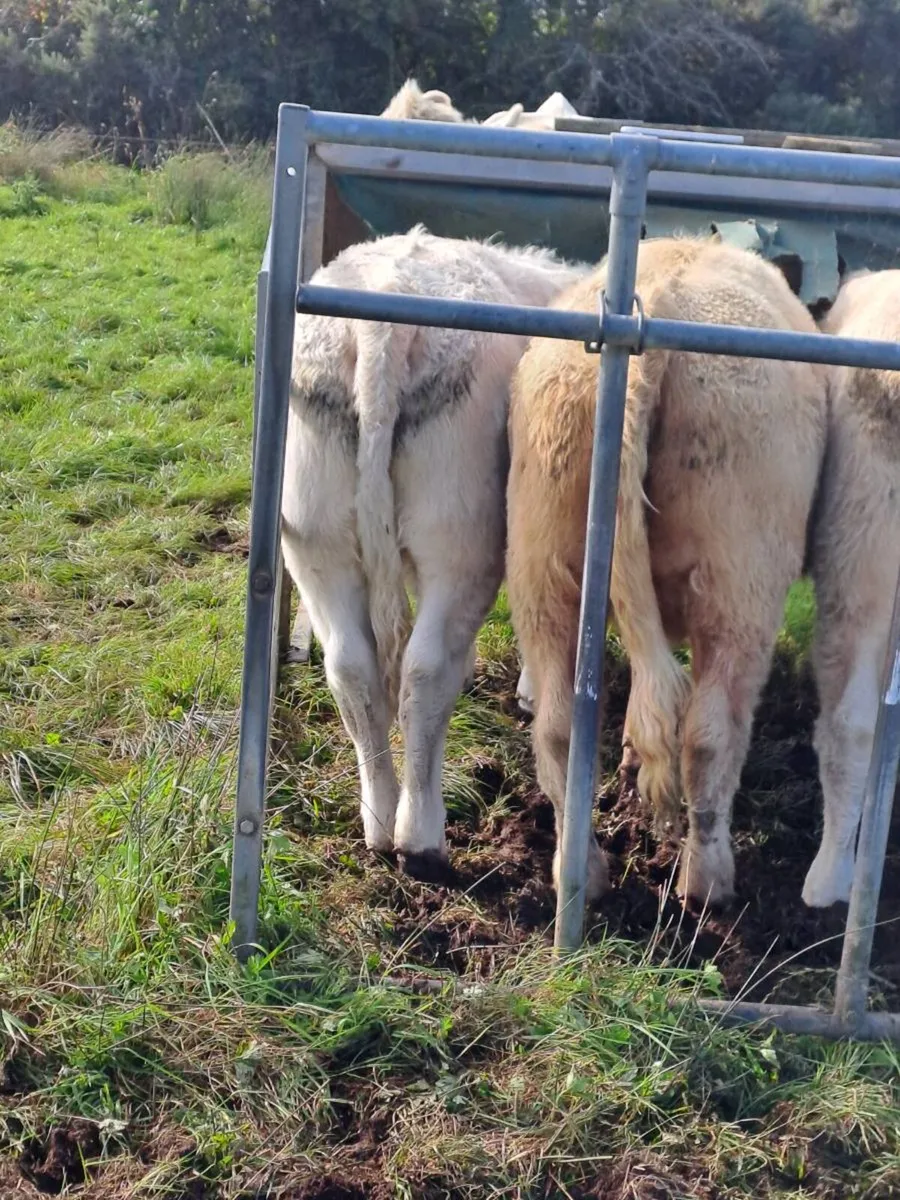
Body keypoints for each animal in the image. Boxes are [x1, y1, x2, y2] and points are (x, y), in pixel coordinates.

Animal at [282, 226, 587, 872]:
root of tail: (381, 325)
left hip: (317, 537)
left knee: (353, 671)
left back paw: (378, 820)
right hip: (461, 539)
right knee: (424, 673)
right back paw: (419, 833)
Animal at [506, 235, 831, 906]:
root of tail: (655, 297)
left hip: (541, 569)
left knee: (558, 728)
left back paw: (580, 871)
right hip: (739, 583)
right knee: (707, 736)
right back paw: (707, 882)